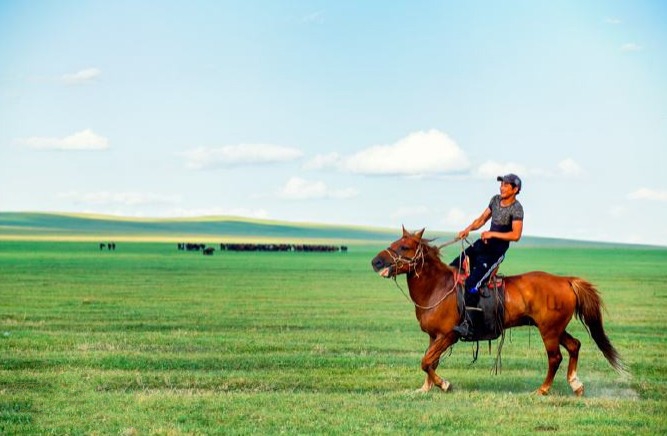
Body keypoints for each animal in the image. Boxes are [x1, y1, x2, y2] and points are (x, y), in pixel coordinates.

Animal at [370, 228, 628, 396]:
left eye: (404, 247)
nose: (376, 262)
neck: (438, 288)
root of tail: (565, 281)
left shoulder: (448, 335)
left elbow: (426, 361)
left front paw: (444, 385)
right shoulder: (434, 336)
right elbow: (430, 361)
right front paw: (425, 388)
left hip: (549, 331)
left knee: (555, 357)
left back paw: (543, 389)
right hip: (554, 328)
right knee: (574, 346)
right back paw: (576, 385)